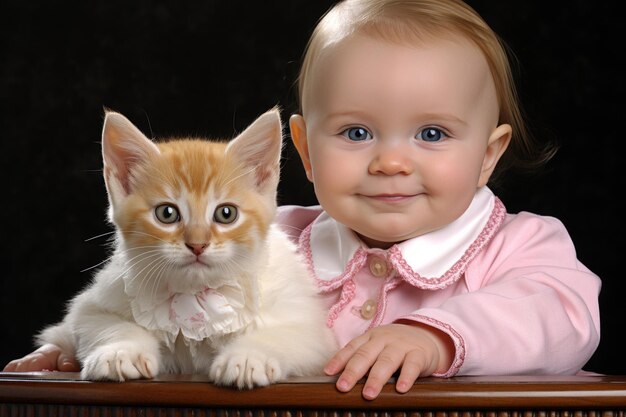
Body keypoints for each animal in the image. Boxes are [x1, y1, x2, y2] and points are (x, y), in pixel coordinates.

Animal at [36, 107, 334, 386]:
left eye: (226, 214)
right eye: (166, 213)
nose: (197, 244)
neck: (195, 294)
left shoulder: (308, 329)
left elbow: (283, 334)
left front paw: (248, 357)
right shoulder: (91, 308)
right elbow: (110, 324)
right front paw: (120, 352)